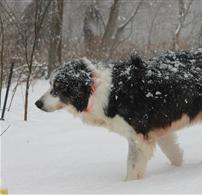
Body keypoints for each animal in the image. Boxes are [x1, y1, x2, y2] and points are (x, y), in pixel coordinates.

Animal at [36, 47, 202, 180]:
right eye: (50, 84)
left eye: (59, 87)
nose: (37, 103)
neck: (99, 91)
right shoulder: (159, 128)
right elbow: (174, 153)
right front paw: (177, 170)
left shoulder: (138, 137)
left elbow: (132, 169)